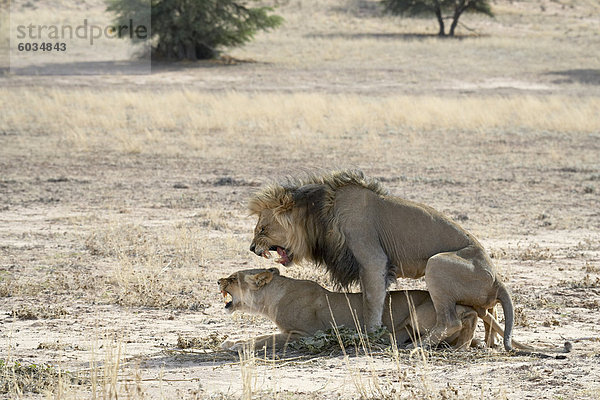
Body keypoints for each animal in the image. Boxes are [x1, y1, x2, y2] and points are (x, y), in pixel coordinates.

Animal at [248, 169, 516, 350]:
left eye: (262, 229)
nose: (251, 248)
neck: (320, 214)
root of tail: (496, 280)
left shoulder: (373, 259)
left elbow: (371, 301)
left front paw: (370, 335)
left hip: (437, 264)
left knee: (450, 321)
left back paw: (416, 346)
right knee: (486, 312)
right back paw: (487, 342)